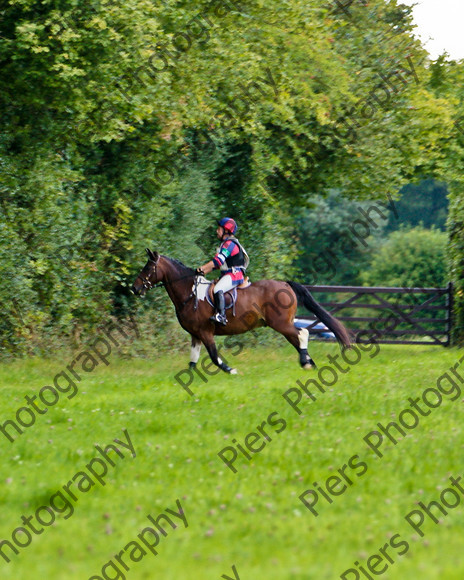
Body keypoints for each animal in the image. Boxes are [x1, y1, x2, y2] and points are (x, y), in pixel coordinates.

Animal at [131, 249, 352, 376]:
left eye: (148, 268)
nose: (135, 288)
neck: (190, 293)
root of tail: (285, 284)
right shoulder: (195, 334)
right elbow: (193, 359)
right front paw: (188, 377)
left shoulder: (205, 332)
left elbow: (214, 356)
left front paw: (231, 370)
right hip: (282, 325)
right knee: (297, 340)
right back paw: (308, 363)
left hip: (281, 323)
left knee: (302, 333)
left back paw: (306, 363)